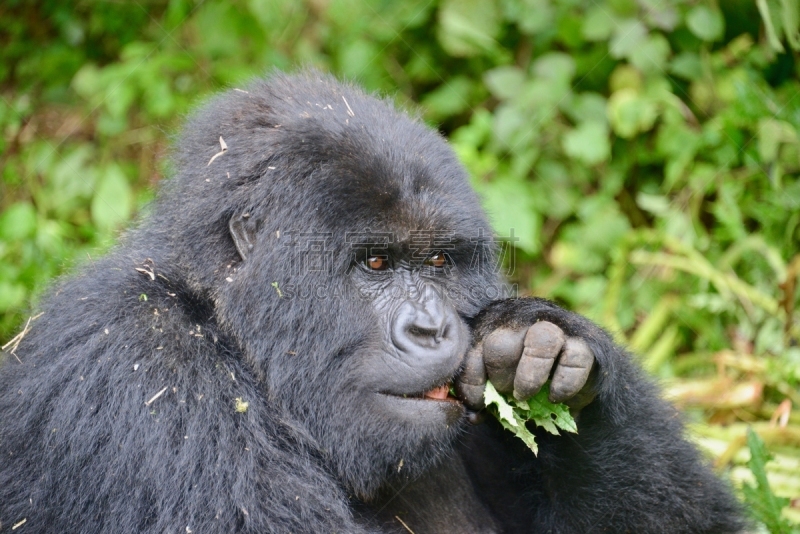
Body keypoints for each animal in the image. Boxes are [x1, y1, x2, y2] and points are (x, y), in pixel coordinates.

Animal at [0, 71, 748, 534]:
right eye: (376, 263)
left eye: (440, 262)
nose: (431, 330)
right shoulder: (145, 370)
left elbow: (700, 521)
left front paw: (545, 344)